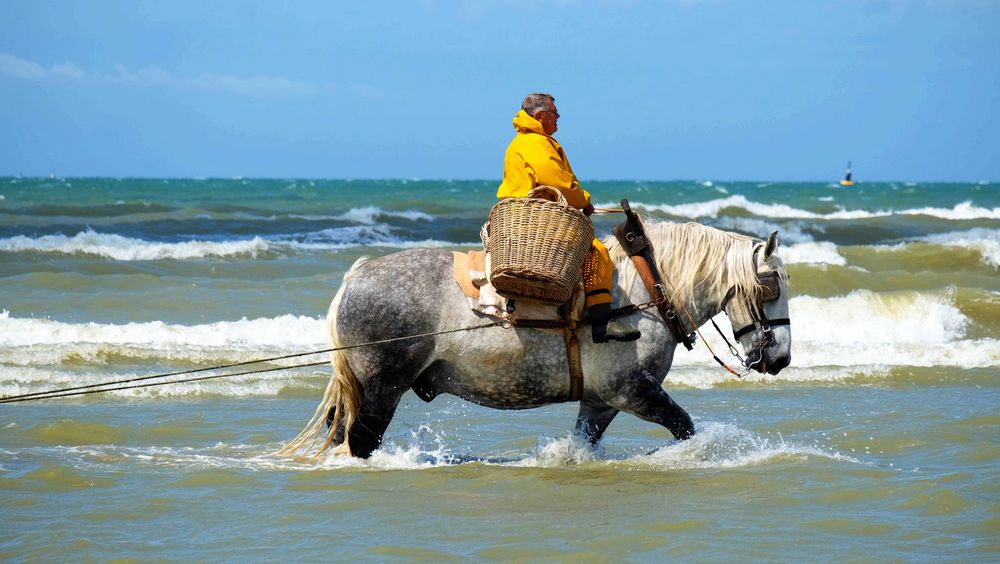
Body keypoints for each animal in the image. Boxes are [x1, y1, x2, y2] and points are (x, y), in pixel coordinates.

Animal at [280, 219, 788, 458]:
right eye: (772, 286)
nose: (781, 357)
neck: (645, 290)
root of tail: (355, 277)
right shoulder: (634, 393)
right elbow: (685, 427)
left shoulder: (601, 401)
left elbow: (583, 442)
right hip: (381, 388)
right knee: (359, 440)